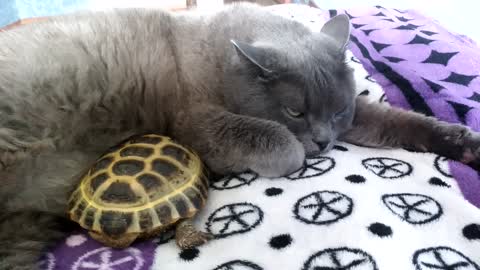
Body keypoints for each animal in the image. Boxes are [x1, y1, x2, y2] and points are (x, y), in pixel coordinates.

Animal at [0, 2, 480, 270]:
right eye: (294, 111)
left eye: (337, 110)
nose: (324, 141)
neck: (218, 60)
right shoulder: (194, 122)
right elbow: (281, 143)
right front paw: (288, 152)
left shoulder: (357, 118)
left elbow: (396, 121)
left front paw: (465, 142)